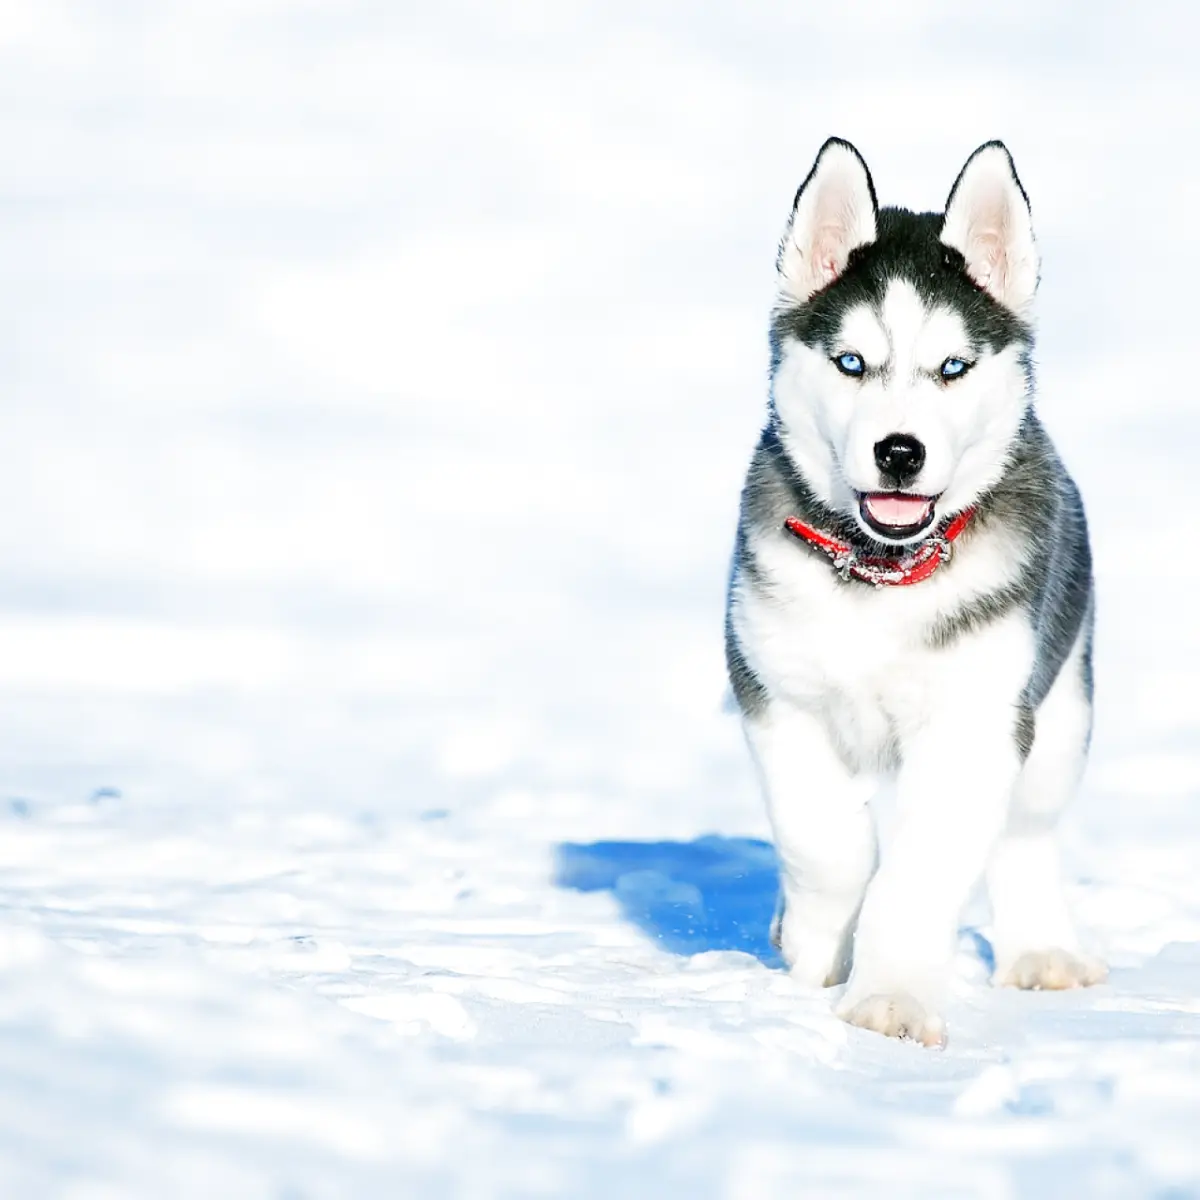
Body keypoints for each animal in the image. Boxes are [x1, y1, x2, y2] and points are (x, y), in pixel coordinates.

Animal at [720, 138, 1104, 1041]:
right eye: (852, 363)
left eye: (953, 367)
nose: (900, 451)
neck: (882, 575)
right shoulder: (775, 691)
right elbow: (825, 840)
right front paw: (817, 942)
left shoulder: (975, 722)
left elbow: (921, 871)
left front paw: (889, 996)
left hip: (1060, 707)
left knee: (1025, 833)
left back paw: (1043, 950)